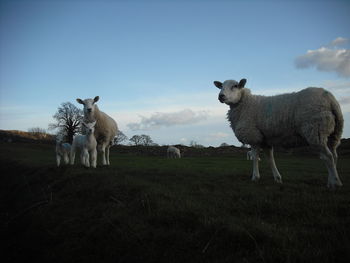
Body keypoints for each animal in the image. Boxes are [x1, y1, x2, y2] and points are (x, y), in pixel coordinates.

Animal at [215, 77, 344, 189]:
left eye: (235, 86)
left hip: (315, 131)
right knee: (334, 156)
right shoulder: (265, 140)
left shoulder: (254, 136)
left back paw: (335, 183)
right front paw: (277, 178)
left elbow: (255, 157)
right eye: (221, 86)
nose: (221, 96)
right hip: (334, 133)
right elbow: (270, 159)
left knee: (328, 157)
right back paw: (331, 181)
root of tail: (330, 98)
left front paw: (255, 177)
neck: (245, 104)